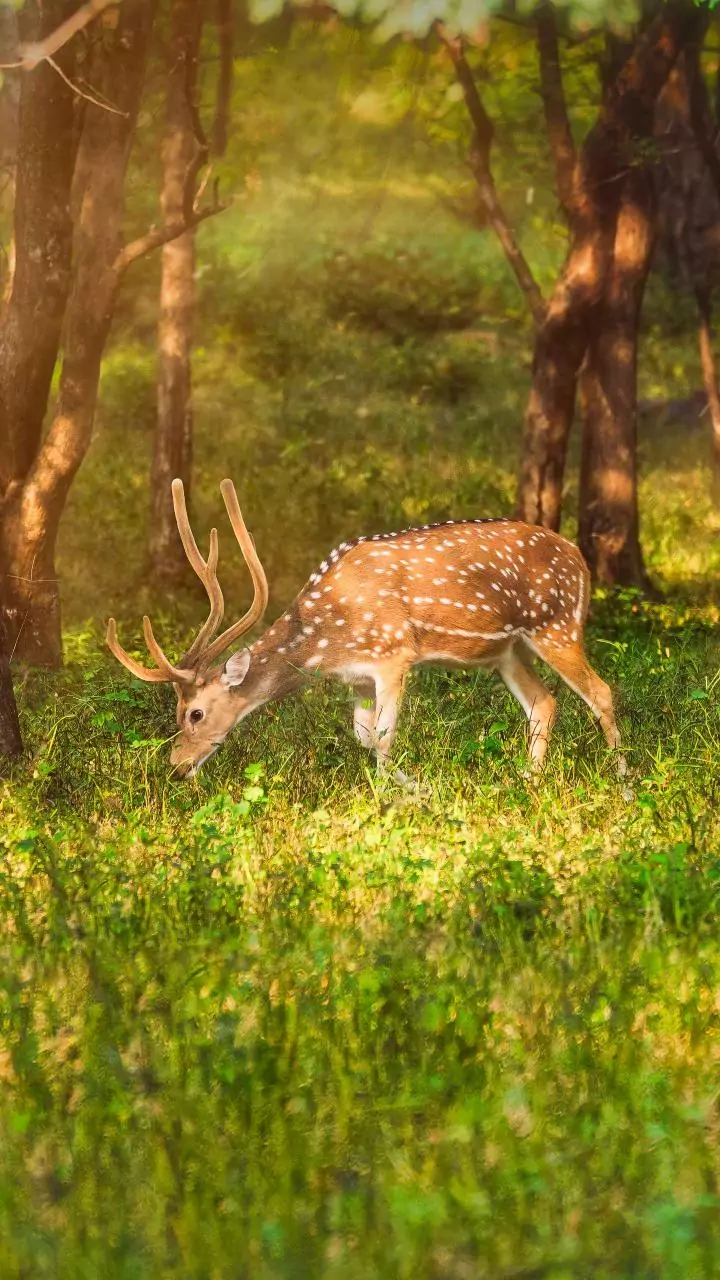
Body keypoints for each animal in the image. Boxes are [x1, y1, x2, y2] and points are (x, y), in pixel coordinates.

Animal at [107, 478, 627, 784]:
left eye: (193, 713)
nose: (176, 767)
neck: (326, 640)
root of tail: (580, 560)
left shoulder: (393, 654)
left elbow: (384, 738)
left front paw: (397, 798)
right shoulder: (355, 679)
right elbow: (364, 738)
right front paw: (408, 789)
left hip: (556, 624)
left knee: (602, 691)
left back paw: (622, 784)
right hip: (507, 651)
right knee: (544, 703)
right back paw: (528, 784)